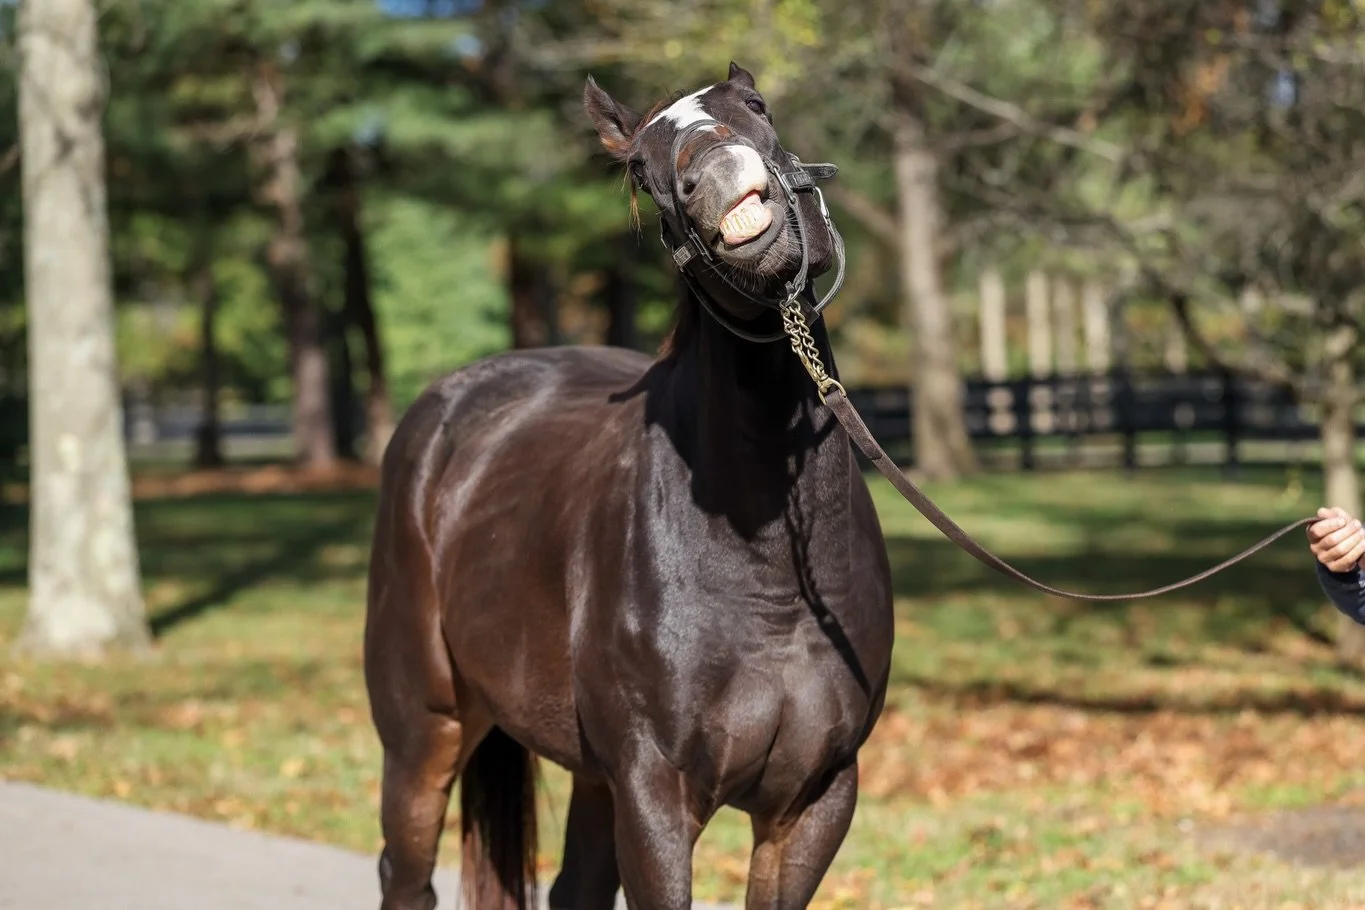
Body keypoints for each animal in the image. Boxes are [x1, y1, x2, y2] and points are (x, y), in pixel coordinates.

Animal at [363, 62, 893, 910]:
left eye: (756, 106)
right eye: (641, 168)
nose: (724, 180)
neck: (770, 577)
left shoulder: (813, 800)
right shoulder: (655, 795)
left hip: (590, 774)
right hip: (425, 730)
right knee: (405, 873)